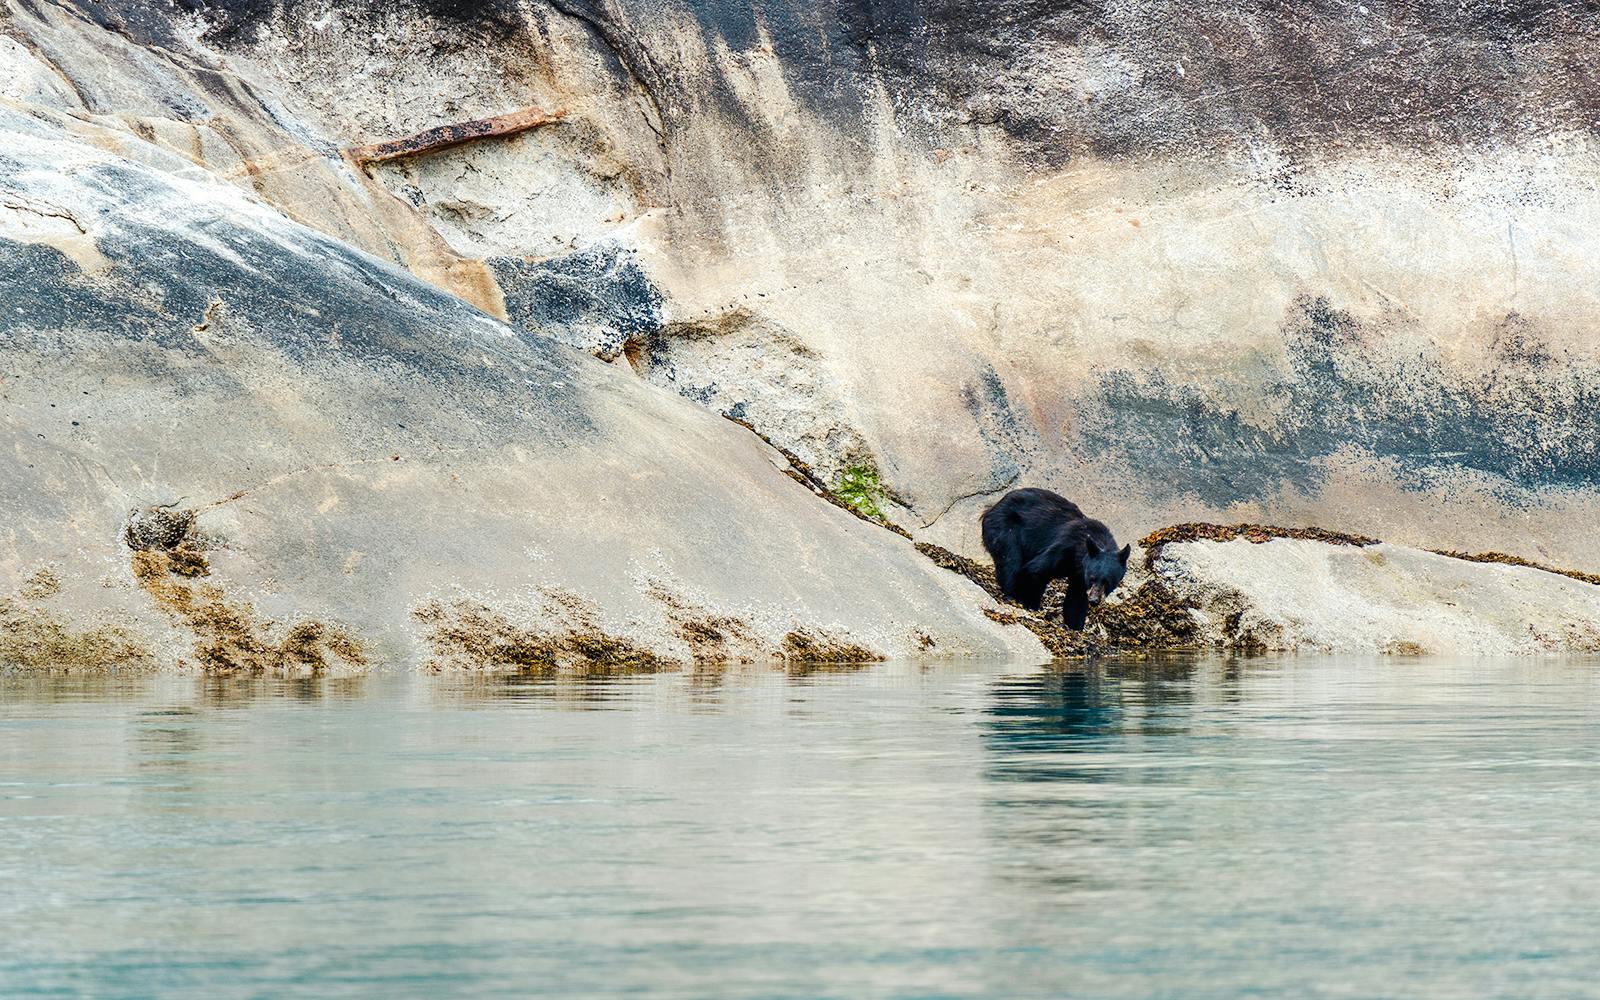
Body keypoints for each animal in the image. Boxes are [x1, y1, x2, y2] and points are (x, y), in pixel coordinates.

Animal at [980, 487, 1131, 631]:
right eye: (1092, 578)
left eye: (1107, 582)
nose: (1094, 600)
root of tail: (992, 507)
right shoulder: (1064, 548)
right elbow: (1035, 570)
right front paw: (1029, 604)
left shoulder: (1080, 575)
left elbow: (1076, 600)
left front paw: (1075, 627)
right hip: (1004, 528)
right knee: (1011, 563)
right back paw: (1010, 596)